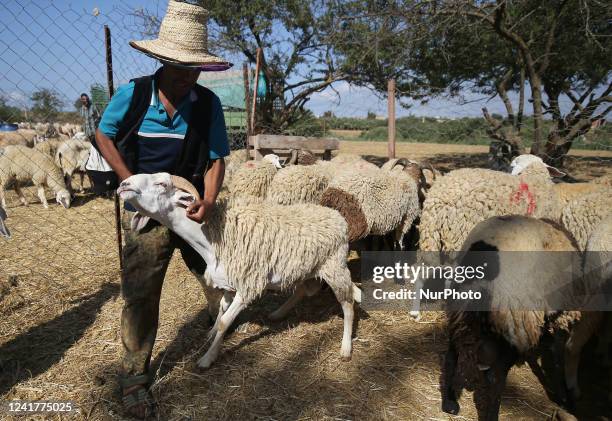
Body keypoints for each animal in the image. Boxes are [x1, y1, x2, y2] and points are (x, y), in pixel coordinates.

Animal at [117, 172, 360, 366]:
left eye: (162, 183)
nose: (123, 185)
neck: (213, 237)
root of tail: (338, 217)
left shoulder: (247, 286)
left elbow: (226, 321)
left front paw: (207, 358)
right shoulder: (227, 283)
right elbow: (220, 311)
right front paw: (210, 334)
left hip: (335, 267)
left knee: (348, 305)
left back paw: (346, 348)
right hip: (305, 269)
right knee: (304, 290)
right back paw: (278, 314)